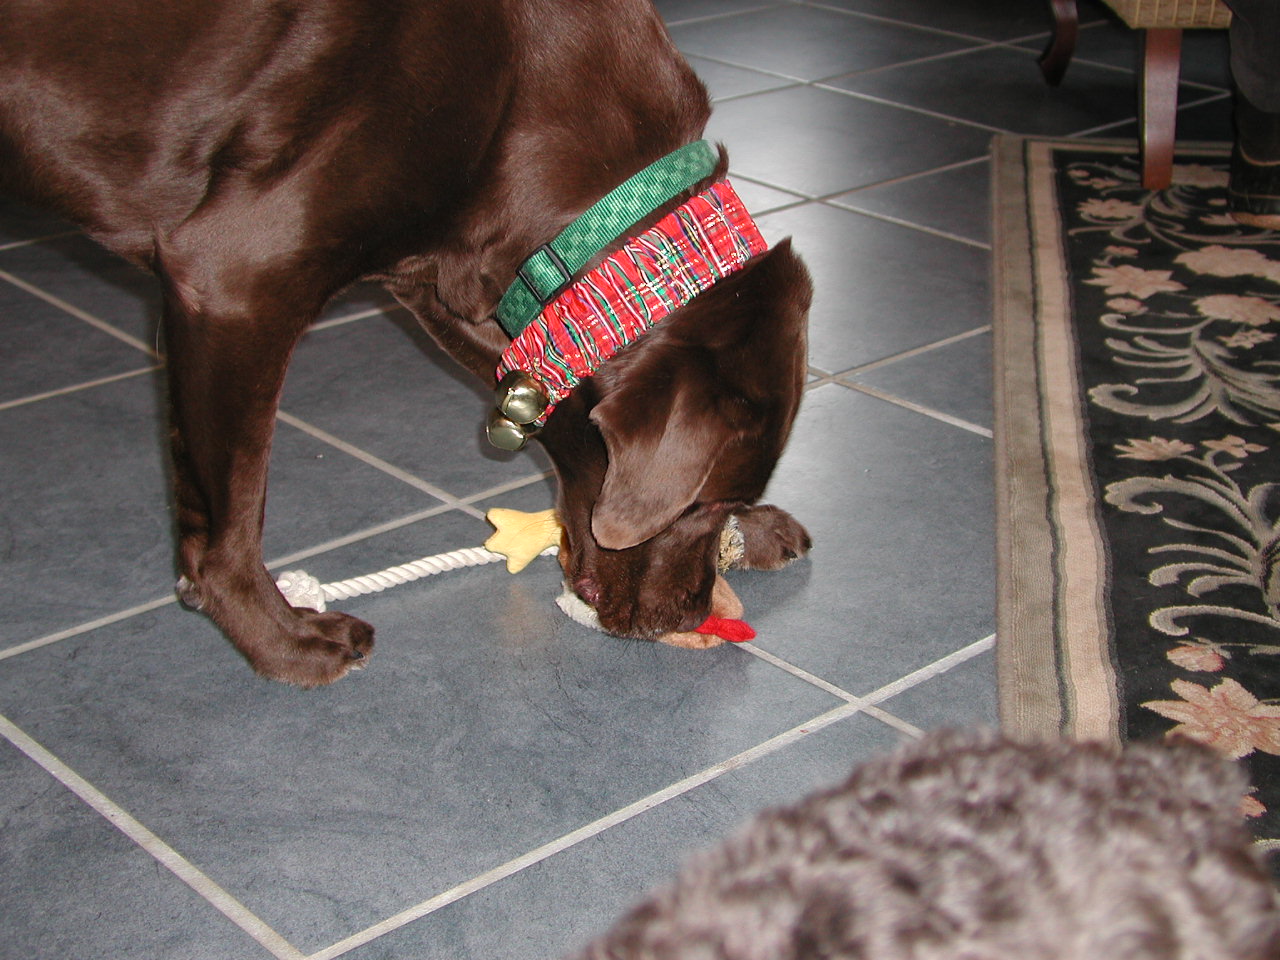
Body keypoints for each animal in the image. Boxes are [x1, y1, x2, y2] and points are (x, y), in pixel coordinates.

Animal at [0, 0, 812, 686]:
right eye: (702, 502)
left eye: (726, 500)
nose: (690, 613)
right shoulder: (232, 280)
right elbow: (230, 518)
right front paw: (282, 642)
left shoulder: (460, 279)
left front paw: (756, 533)